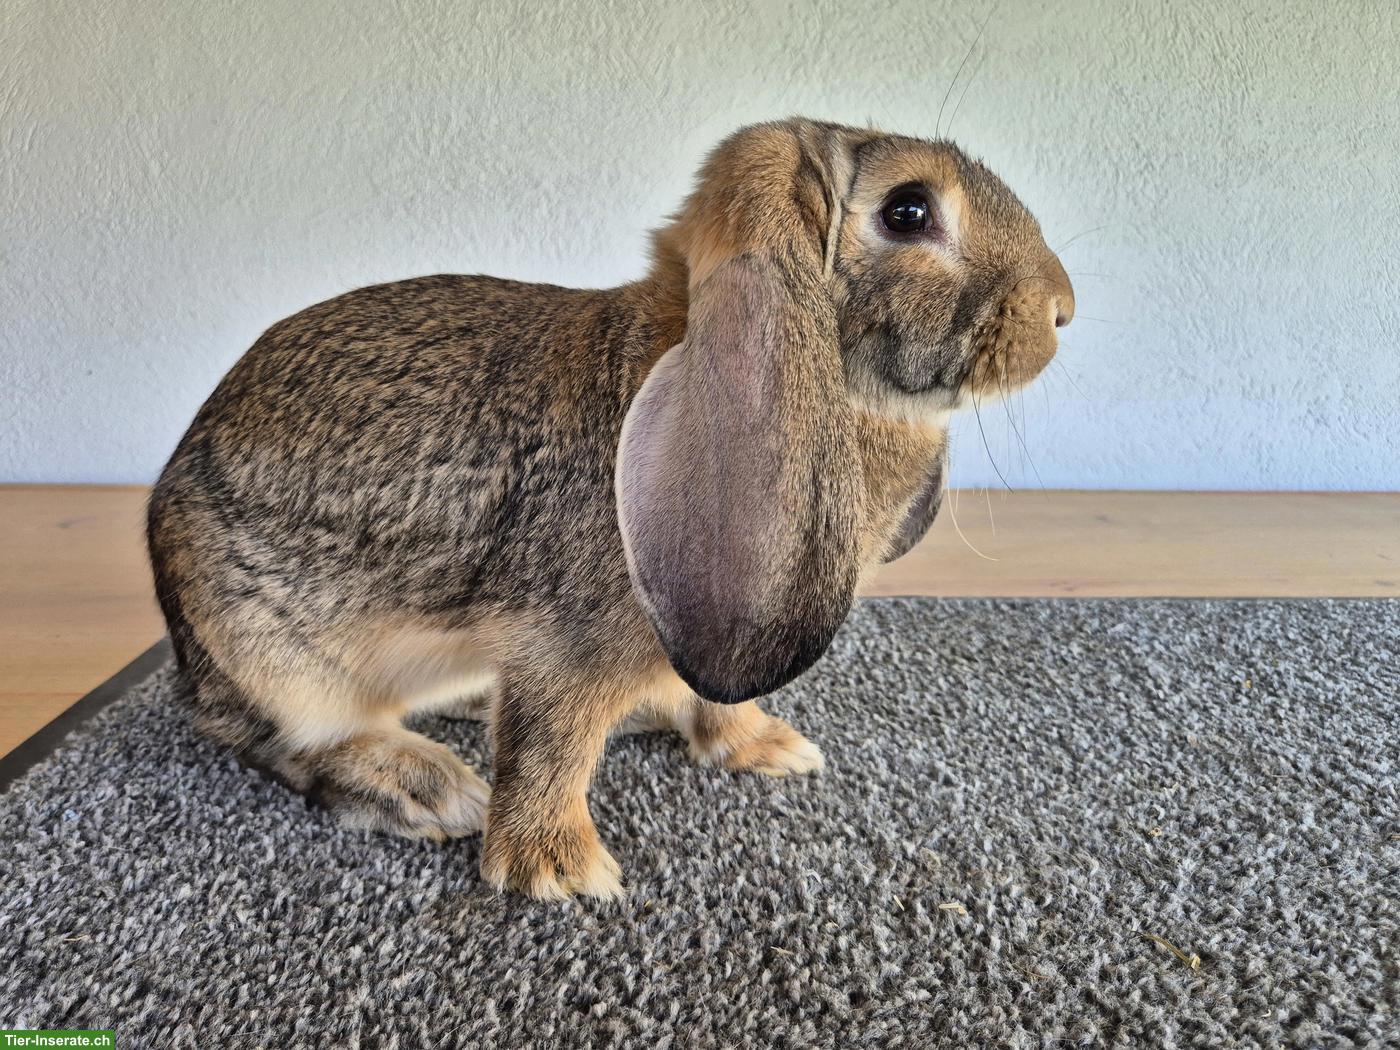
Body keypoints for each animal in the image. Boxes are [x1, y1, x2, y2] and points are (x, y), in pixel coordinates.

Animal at [147, 118, 1074, 900]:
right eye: (908, 210)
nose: (1062, 308)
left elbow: (715, 700)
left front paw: (766, 749)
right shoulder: (568, 648)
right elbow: (551, 746)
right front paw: (558, 871)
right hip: (271, 655)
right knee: (274, 737)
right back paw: (424, 788)